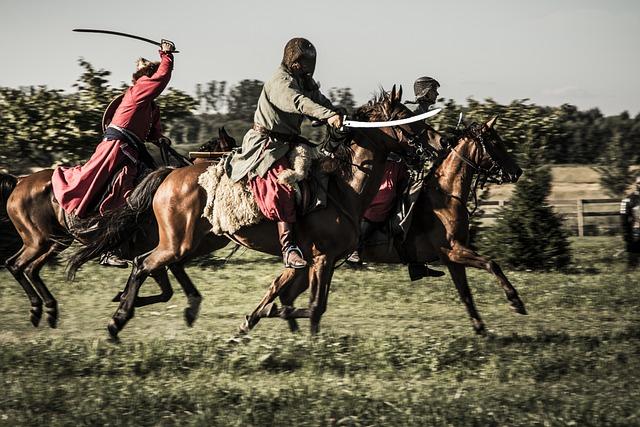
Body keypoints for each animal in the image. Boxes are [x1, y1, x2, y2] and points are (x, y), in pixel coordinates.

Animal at [1, 130, 236, 332]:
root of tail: (20, 181)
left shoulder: (168, 252)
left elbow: (167, 291)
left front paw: (124, 299)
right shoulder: (160, 252)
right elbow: (161, 287)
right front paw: (123, 302)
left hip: (56, 242)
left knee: (31, 269)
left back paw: (49, 309)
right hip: (37, 241)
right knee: (15, 265)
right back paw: (36, 309)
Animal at [67, 85, 442, 340]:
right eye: (405, 119)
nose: (436, 145)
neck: (343, 187)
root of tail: (170, 173)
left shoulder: (312, 261)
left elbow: (283, 292)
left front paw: (260, 320)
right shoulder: (322, 258)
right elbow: (313, 305)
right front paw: (299, 333)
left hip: (199, 242)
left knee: (158, 263)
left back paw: (181, 307)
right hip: (179, 242)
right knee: (143, 263)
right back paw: (118, 320)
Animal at [272, 118, 528, 336]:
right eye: (494, 142)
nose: (517, 172)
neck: (446, 196)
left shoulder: (453, 258)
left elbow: (465, 293)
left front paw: (480, 328)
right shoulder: (453, 251)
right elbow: (492, 264)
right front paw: (515, 302)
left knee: (284, 292)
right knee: (282, 289)